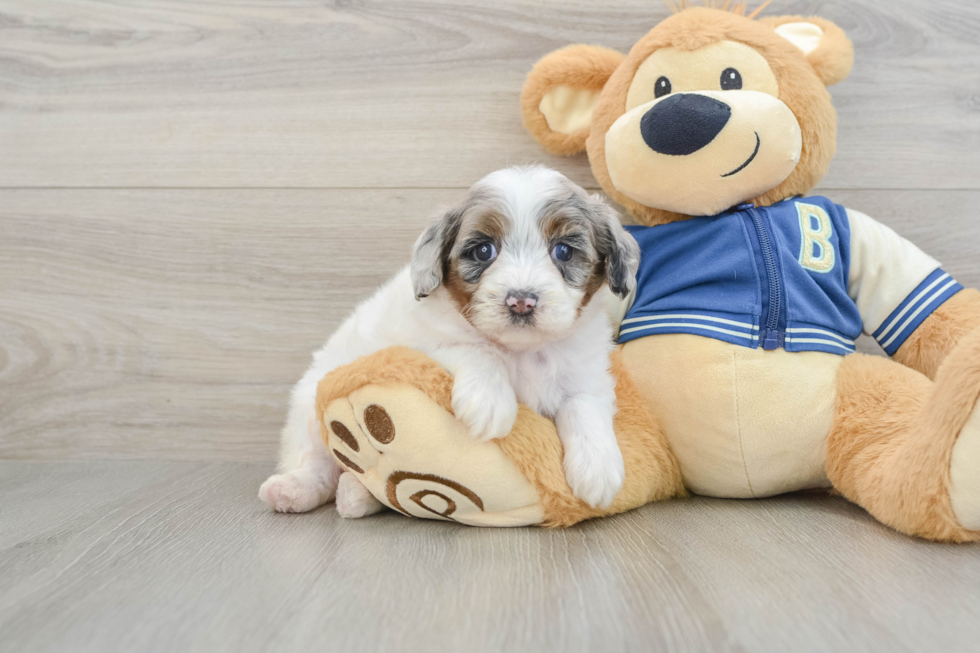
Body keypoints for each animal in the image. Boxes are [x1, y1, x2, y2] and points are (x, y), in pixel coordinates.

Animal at [260, 166, 644, 516]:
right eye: (484, 251)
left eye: (563, 251)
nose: (521, 301)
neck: (522, 350)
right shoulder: (416, 346)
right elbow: (476, 349)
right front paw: (490, 402)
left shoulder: (586, 373)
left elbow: (584, 405)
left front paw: (598, 469)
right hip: (309, 410)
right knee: (319, 462)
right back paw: (293, 490)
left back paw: (355, 494)